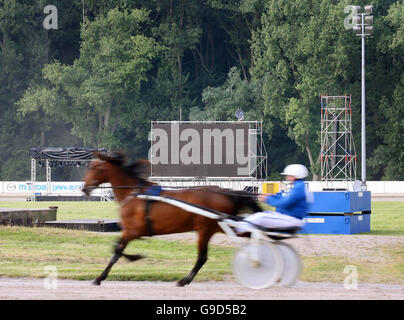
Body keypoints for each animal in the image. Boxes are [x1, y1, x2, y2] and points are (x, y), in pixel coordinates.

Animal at [82, 151, 262, 286]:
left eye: (95, 167)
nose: (84, 188)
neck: (134, 193)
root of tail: (226, 192)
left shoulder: (132, 230)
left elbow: (116, 252)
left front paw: (100, 277)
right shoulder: (130, 231)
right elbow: (116, 249)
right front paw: (133, 257)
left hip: (205, 228)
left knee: (202, 257)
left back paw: (184, 280)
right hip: (219, 226)